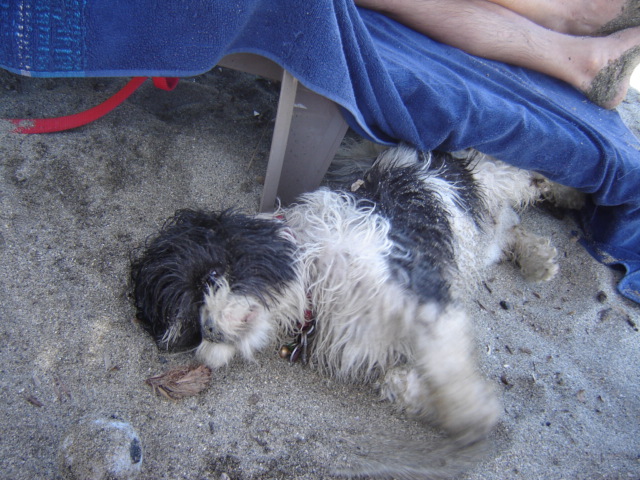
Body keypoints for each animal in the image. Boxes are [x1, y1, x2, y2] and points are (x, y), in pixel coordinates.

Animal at [127, 142, 572, 464]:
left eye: (210, 279)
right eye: (190, 330)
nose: (210, 330)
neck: (318, 279)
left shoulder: (422, 295)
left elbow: (448, 370)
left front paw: (474, 412)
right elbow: (398, 382)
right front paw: (448, 406)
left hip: (488, 180)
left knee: (520, 177)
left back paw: (562, 196)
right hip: (487, 240)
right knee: (510, 229)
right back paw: (539, 260)